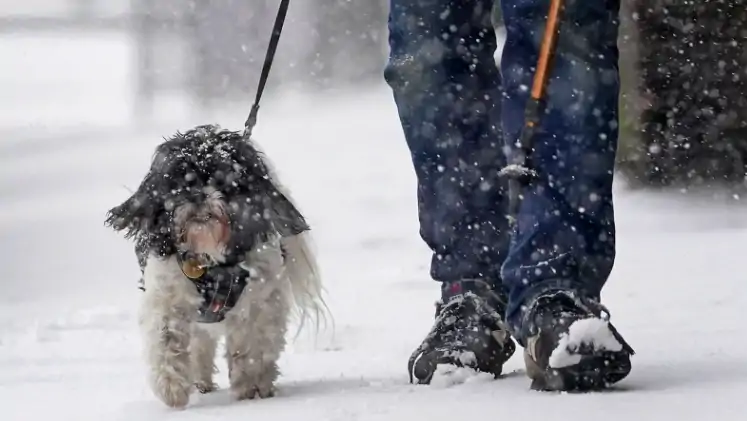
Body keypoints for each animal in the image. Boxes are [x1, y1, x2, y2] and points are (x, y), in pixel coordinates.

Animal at [104, 124, 324, 406]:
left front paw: (251, 385)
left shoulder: (261, 299)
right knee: (199, 343)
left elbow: (254, 345)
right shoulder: (166, 295)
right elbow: (165, 339)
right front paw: (171, 387)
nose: (198, 194)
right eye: (179, 181)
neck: (209, 260)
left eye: (222, 179)